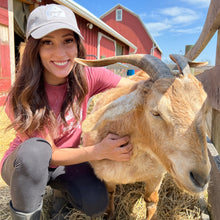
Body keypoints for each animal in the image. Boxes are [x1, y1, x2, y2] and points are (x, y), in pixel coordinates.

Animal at [75, 53, 211, 220]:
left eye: (205, 110)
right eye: (156, 112)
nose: (200, 178)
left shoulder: (156, 175)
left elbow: (151, 201)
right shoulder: (106, 177)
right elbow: (110, 193)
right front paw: (110, 214)